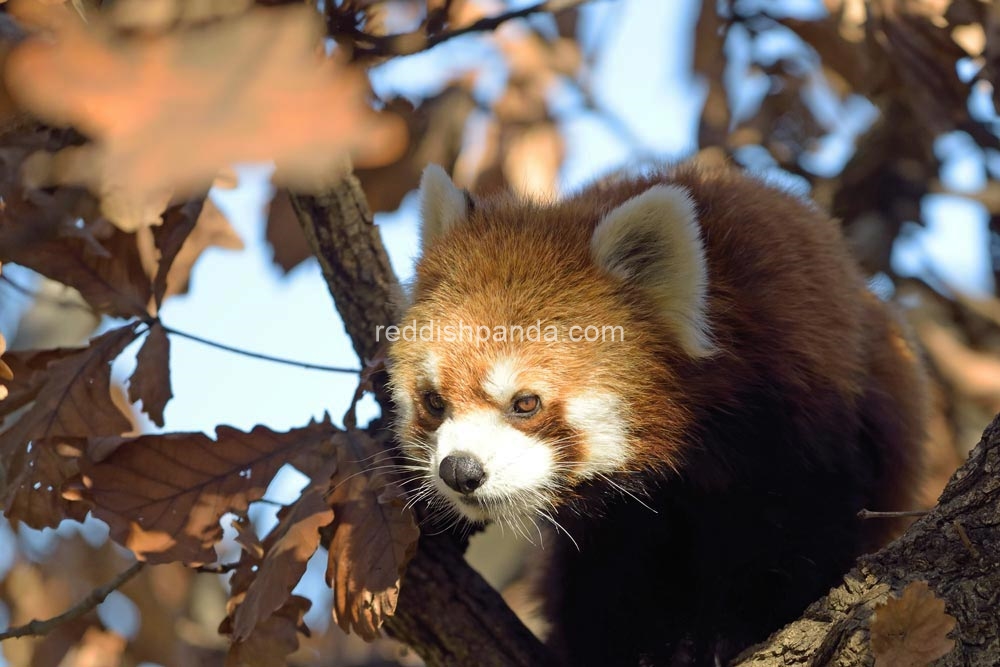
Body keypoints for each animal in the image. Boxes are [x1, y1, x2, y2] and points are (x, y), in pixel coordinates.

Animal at [384, 163, 928, 667]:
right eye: (434, 402)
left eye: (525, 403)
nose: (459, 470)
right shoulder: (617, 526)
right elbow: (606, 581)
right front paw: (621, 648)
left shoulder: (800, 419)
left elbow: (795, 537)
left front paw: (726, 633)